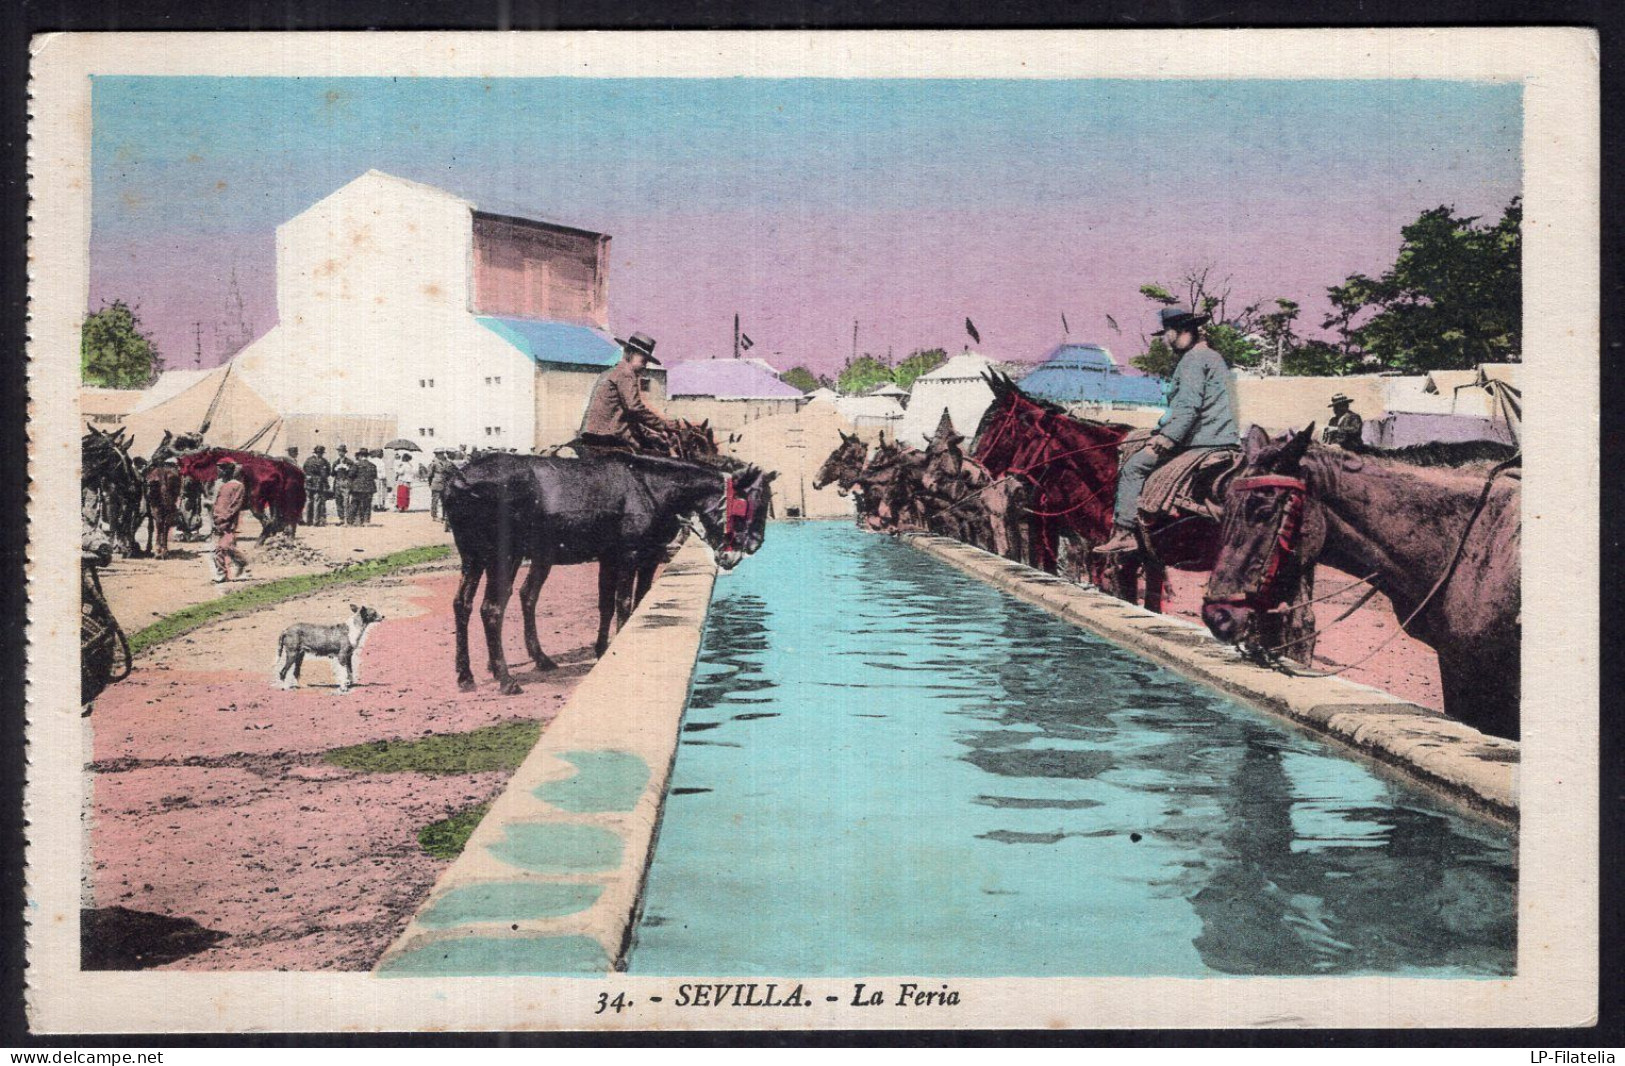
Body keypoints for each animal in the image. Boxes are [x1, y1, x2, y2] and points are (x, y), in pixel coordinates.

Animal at [445, 448, 773, 692]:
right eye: (752, 503)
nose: (753, 544)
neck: (651, 486)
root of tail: (461, 479)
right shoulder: (634, 555)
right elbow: (626, 601)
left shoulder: (614, 557)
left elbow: (610, 603)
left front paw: (603, 648)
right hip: (505, 557)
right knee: (492, 609)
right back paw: (504, 677)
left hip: (475, 557)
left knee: (465, 604)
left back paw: (468, 673)